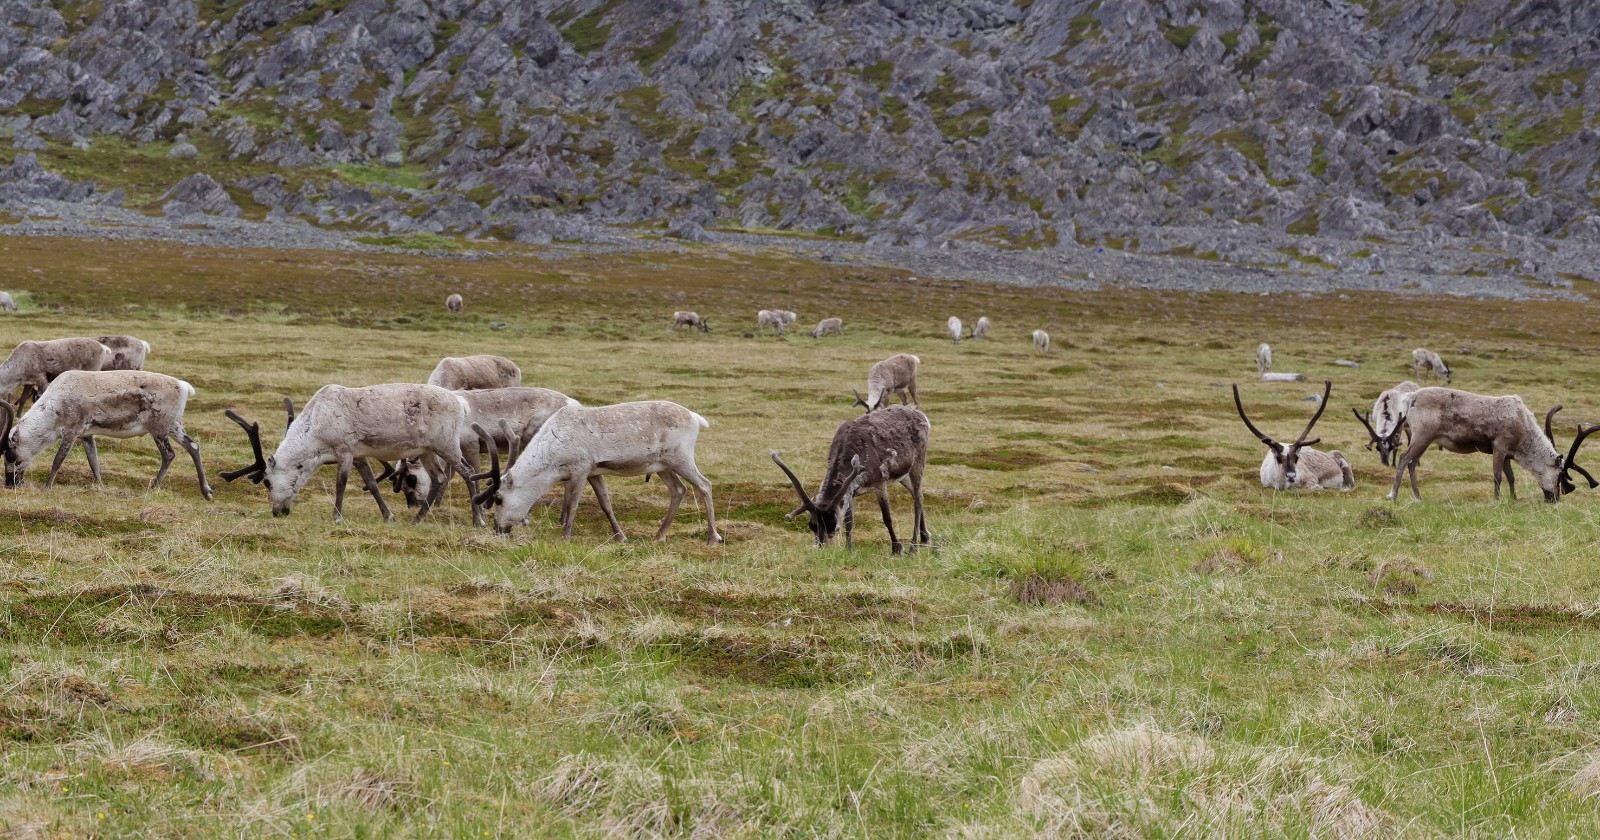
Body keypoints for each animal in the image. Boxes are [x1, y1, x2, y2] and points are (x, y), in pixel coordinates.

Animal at [1, 370, 212, 499]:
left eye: (11, 456)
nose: (10, 484)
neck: (54, 406)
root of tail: (183, 386)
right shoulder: (86, 435)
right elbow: (93, 461)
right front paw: (100, 486)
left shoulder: (71, 431)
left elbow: (58, 460)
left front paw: (47, 487)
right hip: (173, 426)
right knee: (194, 446)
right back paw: (207, 491)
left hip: (159, 429)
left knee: (169, 454)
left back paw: (153, 488)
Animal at [221, 383, 476, 523]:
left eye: (266, 481)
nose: (277, 512)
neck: (316, 434)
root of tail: (461, 402)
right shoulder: (359, 455)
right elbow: (371, 483)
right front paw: (388, 515)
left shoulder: (344, 448)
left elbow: (340, 483)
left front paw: (337, 516)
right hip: (427, 450)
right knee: (439, 478)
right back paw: (417, 518)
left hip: (446, 444)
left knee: (468, 471)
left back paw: (478, 519)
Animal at [469, 400, 722, 545]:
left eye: (498, 499)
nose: (497, 529)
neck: (552, 461)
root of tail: (696, 418)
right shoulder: (594, 471)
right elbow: (605, 503)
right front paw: (621, 537)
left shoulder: (580, 468)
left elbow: (572, 504)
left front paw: (565, 537)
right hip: (663, 465)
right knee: (678, 489)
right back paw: (659, 535)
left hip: (681, 457)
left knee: (705, 484)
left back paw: (713, 537)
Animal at [770, 404, 931, 554]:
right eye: (812, 526)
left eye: (834, 527)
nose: (822, 550)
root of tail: (921, 415)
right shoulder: (851, 491)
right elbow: (850, 521)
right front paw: (849, 549)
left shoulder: (880, 483)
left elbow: (887, 518)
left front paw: (897, 549)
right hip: (903, 474)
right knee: (917, 494)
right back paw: (925, 537)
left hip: (918, 462)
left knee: (917, 499)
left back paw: (913, 546)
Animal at [1386, 387, 1597, 503]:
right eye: (1560, 475)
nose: (1554, 500)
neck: (1524, 430)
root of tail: (1411, 397)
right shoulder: (1499, 447)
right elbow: (1497, 476)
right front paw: (1497, 499)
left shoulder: (1508, 454)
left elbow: (1511, 477)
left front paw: (1513, 498)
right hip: (1422, 435)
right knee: (1404, 458)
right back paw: (1392, 495)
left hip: (1423, 439)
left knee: (1412, 463)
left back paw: (1418, 497)